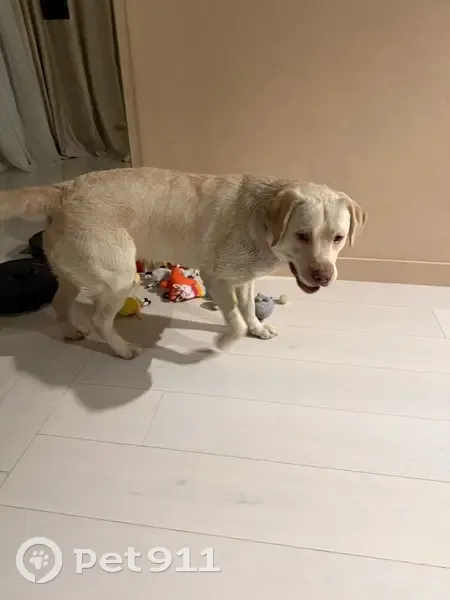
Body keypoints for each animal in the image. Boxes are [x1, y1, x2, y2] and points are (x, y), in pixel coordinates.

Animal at [0, 167, 367, 358]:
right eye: (302, 236)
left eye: (337, 238)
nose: (323, 276)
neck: (260, 221)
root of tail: (63, 188)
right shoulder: (217, 278)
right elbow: (234, 320)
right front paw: (224, 342)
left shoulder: (245, 279)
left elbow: (248, 309)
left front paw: (258, 328)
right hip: (118, 277)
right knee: (100, 320)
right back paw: (123, 349)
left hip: (71, 272)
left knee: (59, 303)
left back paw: (70, 331)